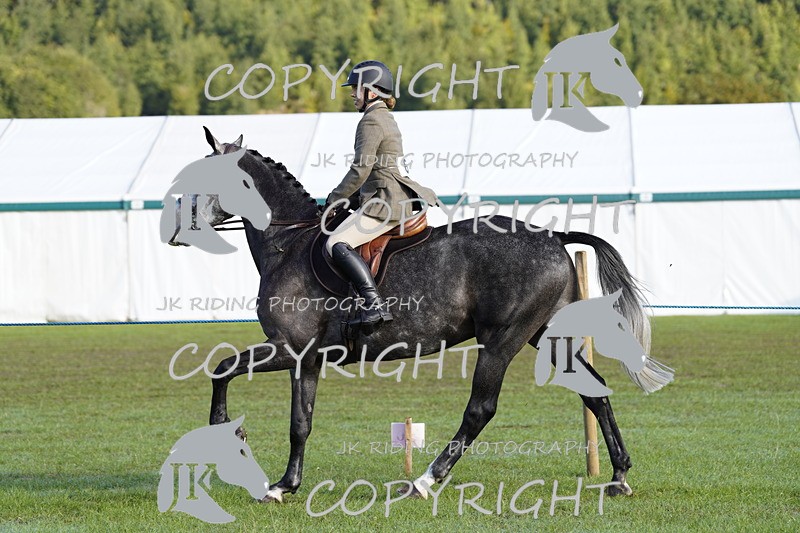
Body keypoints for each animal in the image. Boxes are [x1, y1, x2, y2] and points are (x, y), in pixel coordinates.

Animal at [173, 129, 673, 503]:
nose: (178, 230)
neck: (287, 243)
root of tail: (552, 235)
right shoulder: (307, 359)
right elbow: (301, 422)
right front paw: (284, 485)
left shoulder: (289, 348)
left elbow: (222, 369)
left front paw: (228, 436)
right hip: (547, 337)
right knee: (595, 393)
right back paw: (619, 476)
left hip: (503, 340)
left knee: (480, 409)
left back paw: (425, 481)